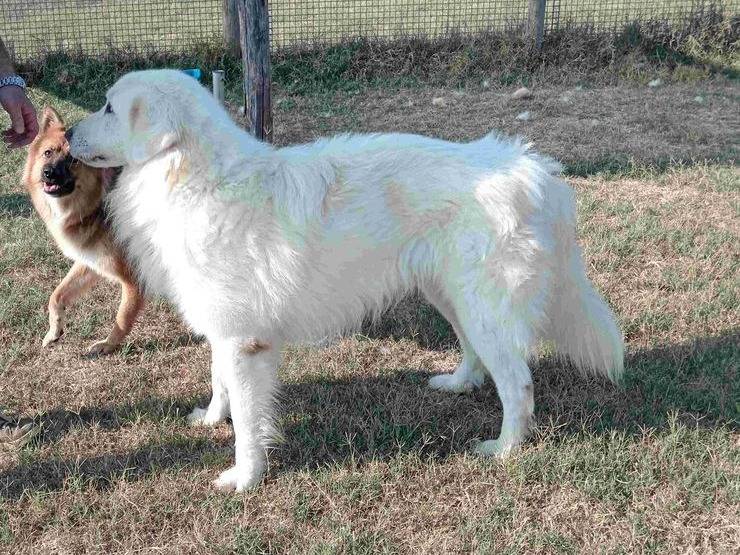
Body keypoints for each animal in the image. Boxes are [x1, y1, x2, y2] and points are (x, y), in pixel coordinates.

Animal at [21, 108, 144, 356]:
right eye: (47, 153)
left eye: (74, 160)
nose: (48, 173)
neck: (96, 204)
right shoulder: (91, 259)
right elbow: (57, 295)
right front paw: (54, 331)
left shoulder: (133, 281)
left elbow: (122, 317)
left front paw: (107, 346)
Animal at [69, 69, 624, 490]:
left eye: (109, 108)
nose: (68, 135)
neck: (192, 177)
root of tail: (534, 169)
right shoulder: (224, 328)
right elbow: (218, 382)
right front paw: (210, 420)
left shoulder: (244, 341)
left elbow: (248, 420)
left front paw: (244, 479)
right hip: (451, 296)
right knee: (477, 355)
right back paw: (458, 384)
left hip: (482, 305)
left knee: (518, 383)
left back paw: (504, 449)